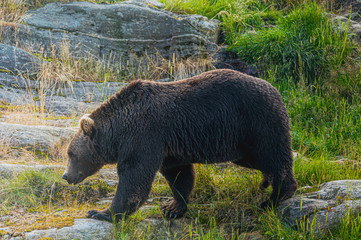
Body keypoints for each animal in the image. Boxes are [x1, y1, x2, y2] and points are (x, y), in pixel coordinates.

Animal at [62, 68, 296, 222]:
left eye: (71, 154)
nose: (66, 176)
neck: (119, 129)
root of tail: (276, 90)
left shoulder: (144, 136)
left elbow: (134, 177)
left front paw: (101, 213)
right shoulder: (170, 148)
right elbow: (179, 175)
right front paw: (173, 207)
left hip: (256, 122)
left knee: (274, 156)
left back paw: (274, 198)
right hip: (241, 143)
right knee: (258, 160)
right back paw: (266, 181)